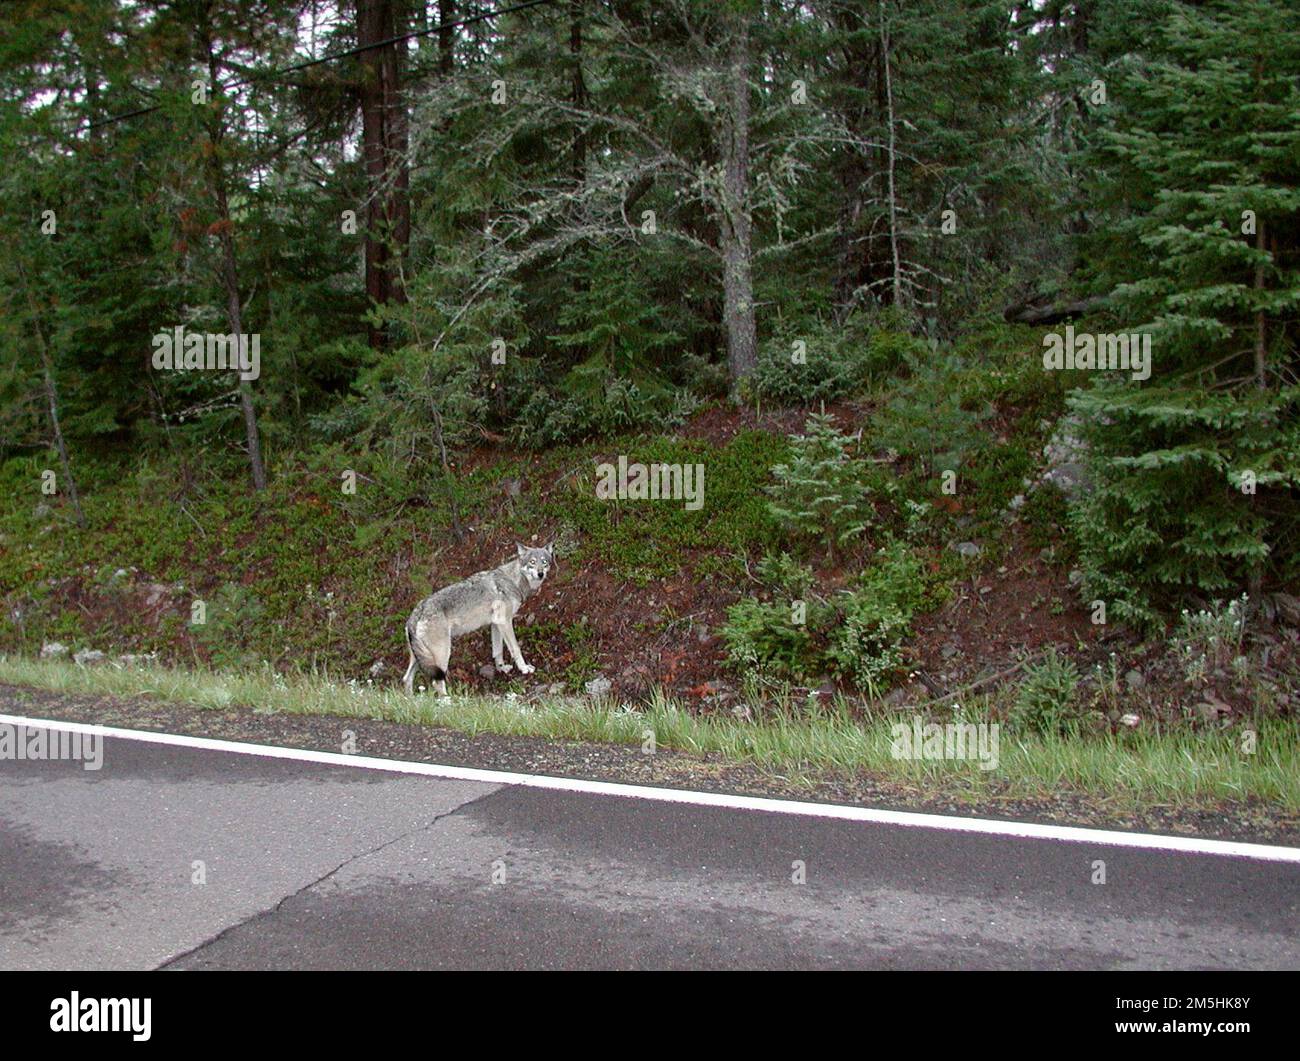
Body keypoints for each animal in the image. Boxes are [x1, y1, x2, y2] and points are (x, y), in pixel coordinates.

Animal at [400, 538, 553, 696]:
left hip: (420, 657)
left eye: (544, 562)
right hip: (442, 655)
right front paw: (524, 668)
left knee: (406, 678)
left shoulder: (496, 624)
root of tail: (417, 611)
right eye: (532, 562)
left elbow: (497, 651)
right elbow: (515, 648)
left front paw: (501, 668)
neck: (514, 580)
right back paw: (449, 700)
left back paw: (412, 699)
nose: (540, 574)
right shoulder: (505, 622)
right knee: (436, 682)